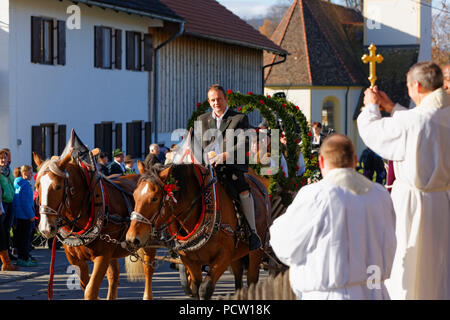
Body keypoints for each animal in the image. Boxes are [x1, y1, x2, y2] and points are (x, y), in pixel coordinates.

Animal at [33, 151, 156, 298]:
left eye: (58, 186)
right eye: (37, 186)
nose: (46, 228)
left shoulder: (102, 256)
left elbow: (90, 290)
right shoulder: (75, 259)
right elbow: (85, 286)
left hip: (148, 243)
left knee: (148, 270)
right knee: (114, 276)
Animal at [125, 162, 268, 300]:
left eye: (154, 198)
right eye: (134, 195)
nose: (132, 238)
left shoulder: (224, 256)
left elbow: (205, 289)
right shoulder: (189, 259)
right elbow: (196, 288)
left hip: (255, 253)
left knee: (252, 280)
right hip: (237, 255)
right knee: (238, 277)